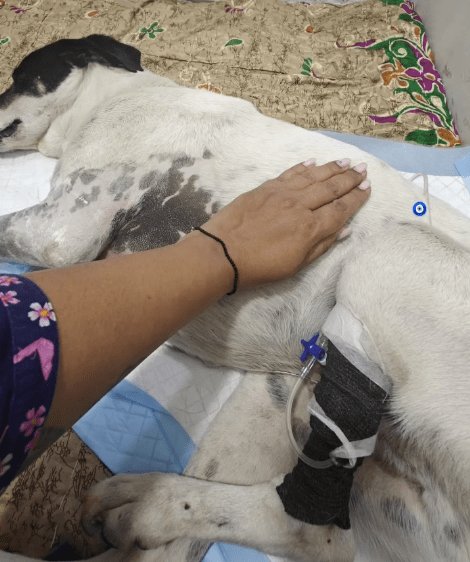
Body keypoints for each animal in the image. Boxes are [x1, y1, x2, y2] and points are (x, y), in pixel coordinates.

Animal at [1, 35, 470, 562]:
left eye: (18, 75)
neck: (116, 97)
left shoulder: (62, 232)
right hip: (282, 397)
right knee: (314, 532)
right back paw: (144, 514)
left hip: (388, 257)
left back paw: (142, 506)